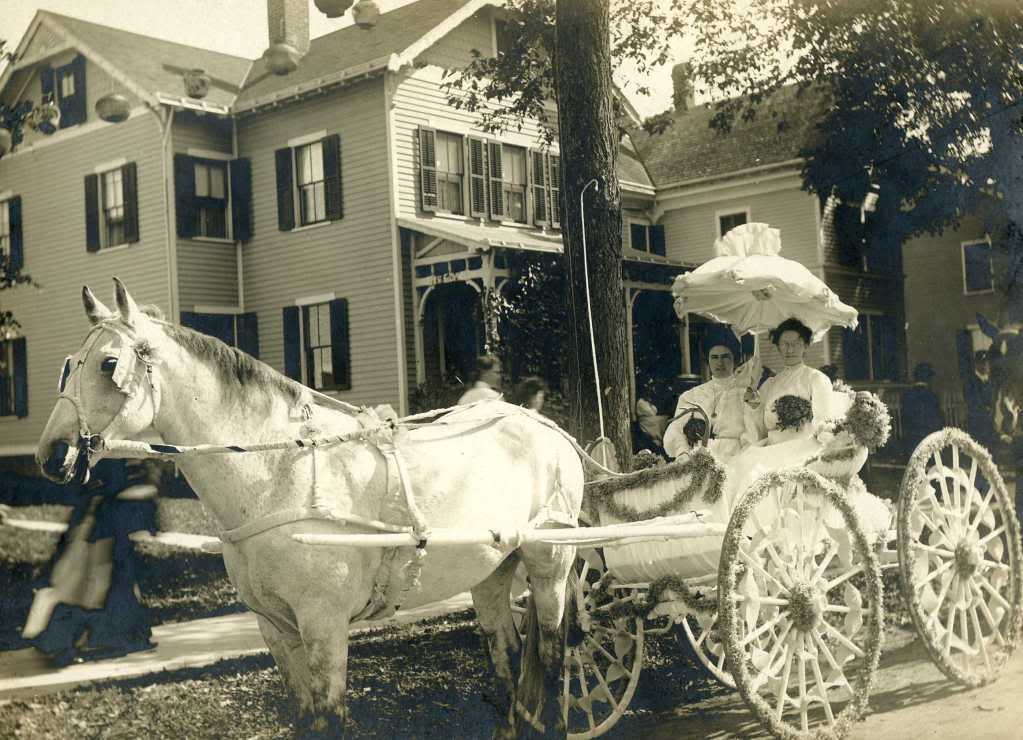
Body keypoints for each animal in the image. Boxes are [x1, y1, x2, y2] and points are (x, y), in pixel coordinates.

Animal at [37, 280, 585, 736]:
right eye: (68, 364)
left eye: (109, 364)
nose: (52, 453)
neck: (280, 472)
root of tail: (543, 424)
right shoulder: (275, 627)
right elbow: (305, 719)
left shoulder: (324, 623)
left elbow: (330, 719)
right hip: (492, 572)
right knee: (508, 662)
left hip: (550, 567)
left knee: (554, 659)